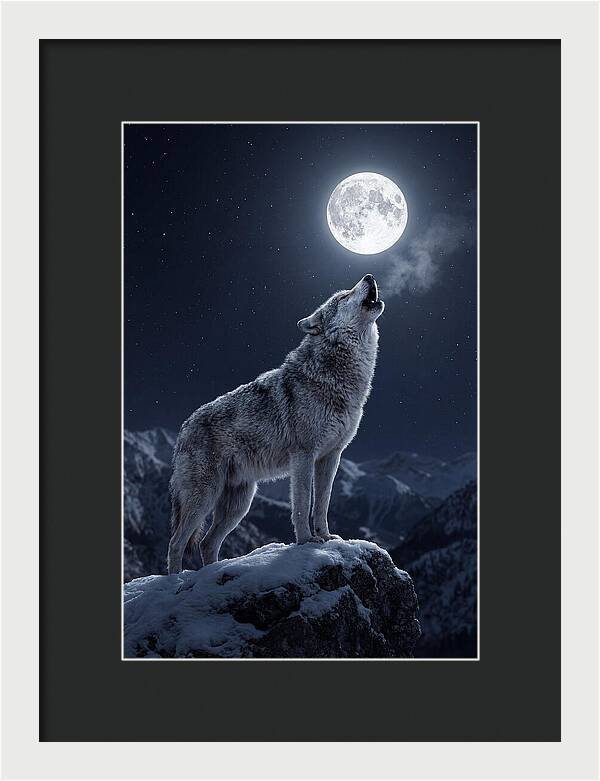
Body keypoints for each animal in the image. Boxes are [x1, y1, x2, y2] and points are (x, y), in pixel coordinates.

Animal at [167, 274, 384, 574]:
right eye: (343, 296)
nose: (369, 276)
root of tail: (183, 427)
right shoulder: (303, 456)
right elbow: (303, 504)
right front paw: (306, 541)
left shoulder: (331, 457)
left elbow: (322, 504)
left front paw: (327, 537)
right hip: (203, 498)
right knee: (176, 543)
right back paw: (174, 580)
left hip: (240, 504)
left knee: (206, 543)